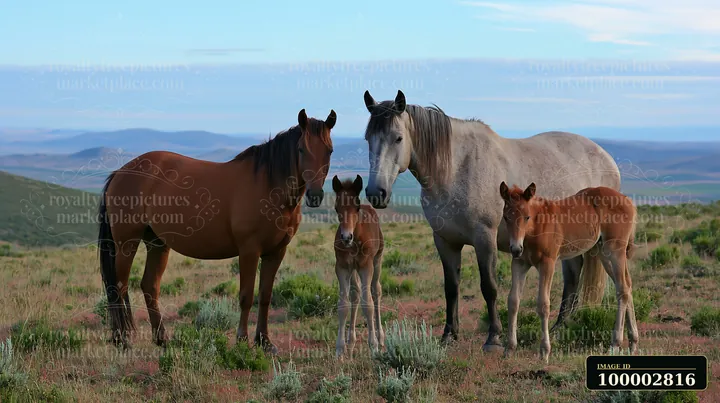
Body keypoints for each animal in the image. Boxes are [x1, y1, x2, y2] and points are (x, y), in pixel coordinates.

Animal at [97, 109, 336, 353]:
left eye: (329, 150)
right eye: (301, 149)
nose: (315, 195)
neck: (268, 186)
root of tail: (119, 172)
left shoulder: (276, 252)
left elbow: (265, 295)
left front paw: (265, 341)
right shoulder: (249, 251)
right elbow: (246, 296)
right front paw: (242, 341)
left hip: (157, 243)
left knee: (149, 286)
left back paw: (162, 339)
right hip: (127, 243)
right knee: (119, 286)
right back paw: (123, 340)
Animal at [332, 175, 385, 358]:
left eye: (356, 207)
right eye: (336, 208)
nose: (346, 237)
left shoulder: (365, 266)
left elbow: (367, 304)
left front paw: (373, 345)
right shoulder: (342, 267)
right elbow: (343, 305)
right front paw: (339, 349)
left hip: (377, 261)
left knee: (376, 291)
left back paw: (381, 338)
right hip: (353, 269)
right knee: (355, 295)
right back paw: (350, 341)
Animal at [362, 90, 621, 352]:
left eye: (398, 138)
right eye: (367, 139)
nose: (376, 193)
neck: (457, 169)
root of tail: (607, 159)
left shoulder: (484, 238)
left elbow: (489, 287)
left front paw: (494, 337)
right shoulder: (445, 241)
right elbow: (451, 287)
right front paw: (449, 334)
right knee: (572, 274)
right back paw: (562, 325)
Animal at [499, 182, 639, 362]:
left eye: (526, 217)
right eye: (506, 217)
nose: (516, 248)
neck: (537, 226)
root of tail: (629, 201)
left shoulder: (548, 263)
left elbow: (543, 304)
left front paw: (544, 351)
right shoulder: (519, 263)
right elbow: (513, 301)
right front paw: (509, 349)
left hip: (615, 251)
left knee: (622, 289)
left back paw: (615, 344)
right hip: (604, 253)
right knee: (627, 285)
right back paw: (633, 342)